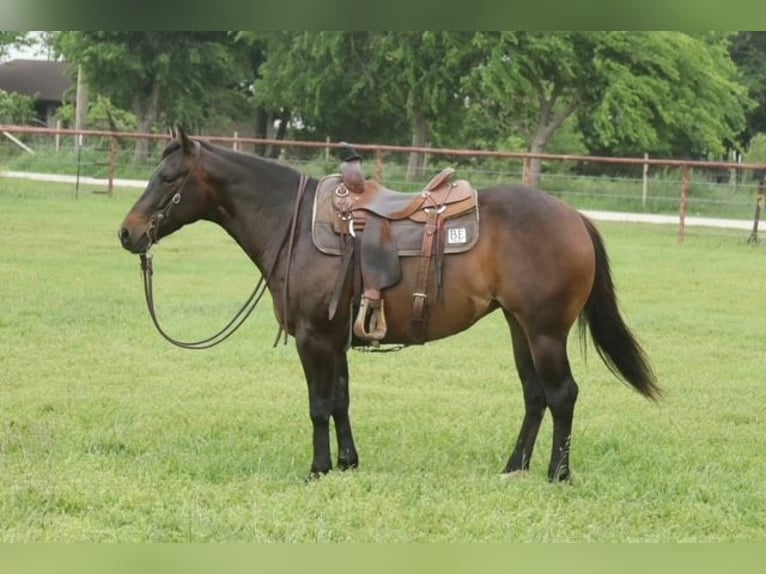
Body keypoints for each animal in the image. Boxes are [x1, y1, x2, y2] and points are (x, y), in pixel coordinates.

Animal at [118, 127, 659, 482]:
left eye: (169, 177)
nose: (127, 233)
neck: (291, 224)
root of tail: (576, 218)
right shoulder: (335, 338)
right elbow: (340, 400)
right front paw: (347, 463)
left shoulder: (314, 338)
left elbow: (318, 405)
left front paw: (318, 469)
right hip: (518, 327)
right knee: (535, 396)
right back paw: (513, 468)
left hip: (545, 331)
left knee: (562, 395)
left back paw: (557, 475)